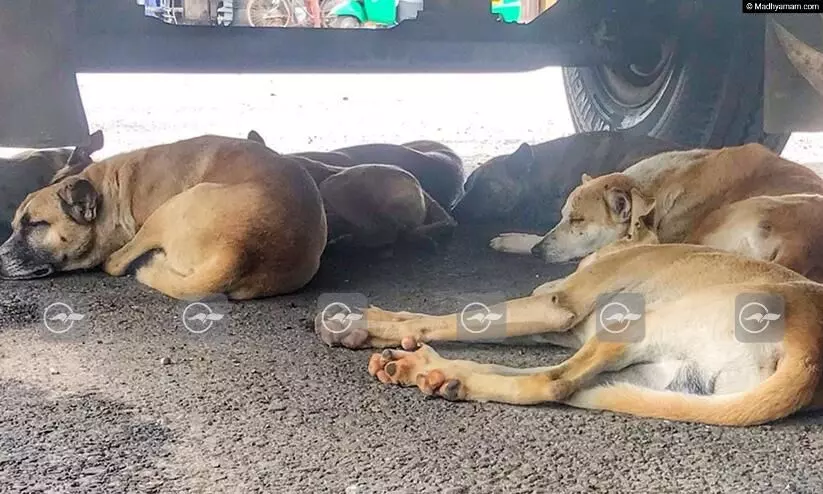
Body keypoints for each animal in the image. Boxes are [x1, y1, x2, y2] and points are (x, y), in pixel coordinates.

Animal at [0, 133, 328, 300]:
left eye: (35, 225)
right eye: (15, 225)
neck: (109, 189)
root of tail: (240, 251)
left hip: (168, 210)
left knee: (116, 262)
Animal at [314, 197, 823, 424]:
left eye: (576, 219)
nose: (539, 248)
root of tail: (808, 356)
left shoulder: (554, 308)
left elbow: (441, 319)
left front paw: (361, 322)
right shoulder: (551, 325)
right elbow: (441, 319)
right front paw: (366, 326)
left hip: (635, 325)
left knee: (551, 383)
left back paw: (435, 370)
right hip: (664, 375)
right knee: (557, 380)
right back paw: (434, 371)